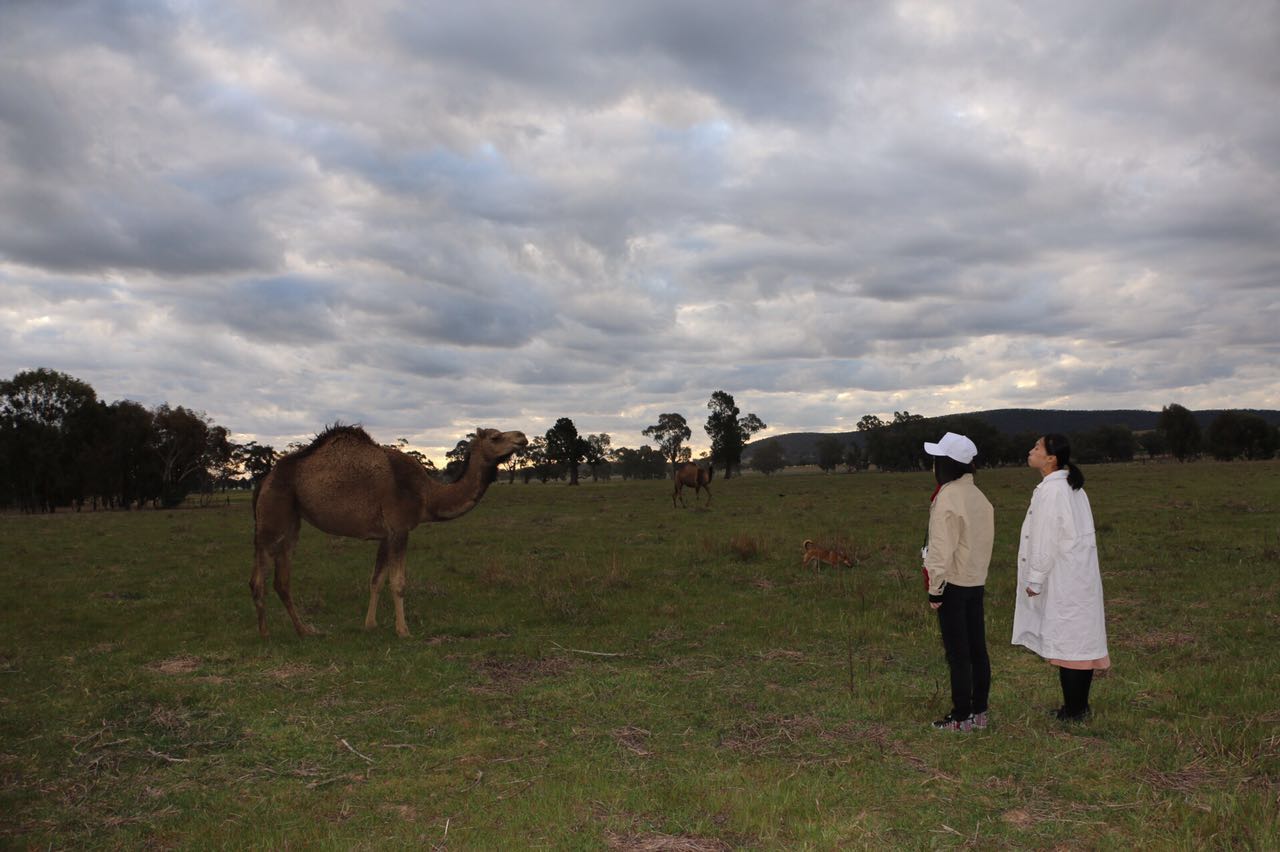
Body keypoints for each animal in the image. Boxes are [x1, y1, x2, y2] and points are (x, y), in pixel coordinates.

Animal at [247, 422, 527, 634]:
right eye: (495, 436)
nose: (522, 437)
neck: (427, 495)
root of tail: (264, 481)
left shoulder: (386, 534)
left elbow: (376, 580)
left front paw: (370, 624)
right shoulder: (400, 528)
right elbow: (398, 582)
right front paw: (403, 630)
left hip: (292, 520)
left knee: (282, 579)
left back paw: (304, 630)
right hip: (273, 515)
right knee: (259, 575)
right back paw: (266, 633)